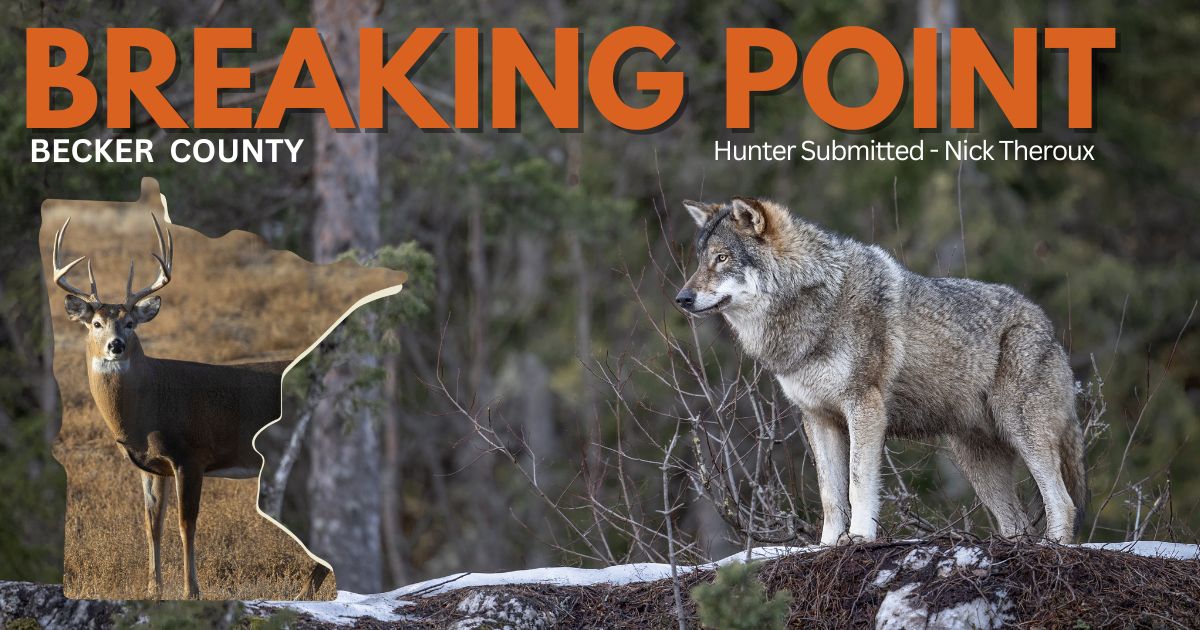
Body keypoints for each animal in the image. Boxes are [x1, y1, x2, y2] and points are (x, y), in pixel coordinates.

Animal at [676, 197, 1086, 545]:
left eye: (722, 258)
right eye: (700, 261)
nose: (681, 298)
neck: (814, 302)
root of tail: (1046, 325)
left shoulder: (864, 406)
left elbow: (858, 483)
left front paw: (859, 537)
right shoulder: (818, 418)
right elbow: (830, 494)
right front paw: (827, 546)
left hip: (1021, 432)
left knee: (1063, 502)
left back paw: (1052, 548)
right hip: (976, 461)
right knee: (1018, 523)